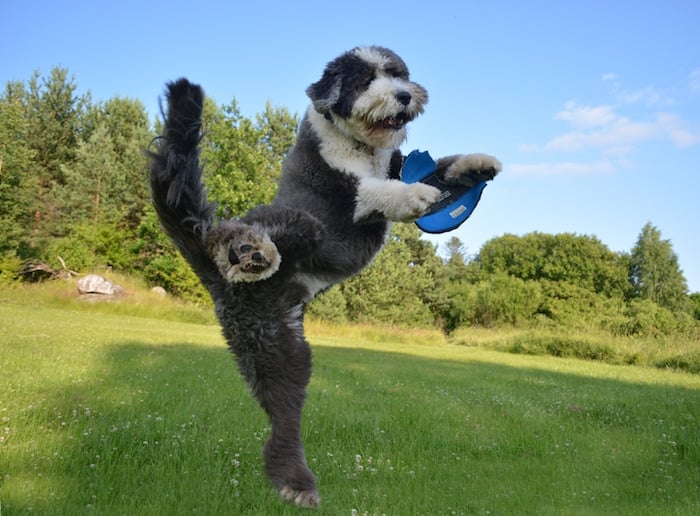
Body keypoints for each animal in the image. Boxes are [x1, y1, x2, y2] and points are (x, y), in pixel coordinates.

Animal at [149, 46, 498, 510]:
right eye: (365, 80)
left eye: (397, 73)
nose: (404, 95)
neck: (360, 147)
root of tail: (218, 282)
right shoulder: (342, 192)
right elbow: (379, 190)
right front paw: (416, 196)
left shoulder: (399, 163)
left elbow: (440, 167)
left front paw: (478, 163)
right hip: (288, 257)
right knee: (240, 228)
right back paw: (250, 253)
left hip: (287, 354)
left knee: (282, 420)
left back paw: (294, 483)